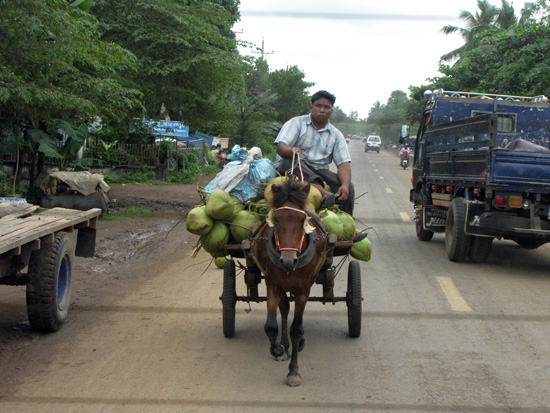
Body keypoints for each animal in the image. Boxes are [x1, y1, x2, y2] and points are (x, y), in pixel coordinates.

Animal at [252, 178, 330, 386]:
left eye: (302, 220)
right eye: (277, 220)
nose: (288, 261)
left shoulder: (303, 289)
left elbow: (296, 329)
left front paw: (293, 371)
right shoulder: (273, 285)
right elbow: (271, 325)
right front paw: (278, 349)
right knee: (285, 308)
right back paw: (284, 346)